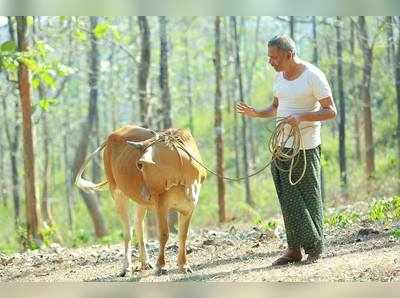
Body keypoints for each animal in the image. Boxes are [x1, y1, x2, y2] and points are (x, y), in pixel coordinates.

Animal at [74, 124, 206, 276]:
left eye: (140, 165)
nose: (145, 193)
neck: (183, 179)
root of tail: (112, 135)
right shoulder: (161, 205)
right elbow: (164, 234)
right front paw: (160, 265)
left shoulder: (189, 207)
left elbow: (183, 235)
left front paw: (183, 265)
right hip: (117, 193)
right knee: (127, 231)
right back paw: (126, 267)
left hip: (141, 203)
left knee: (138, 224)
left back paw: (144, 262)